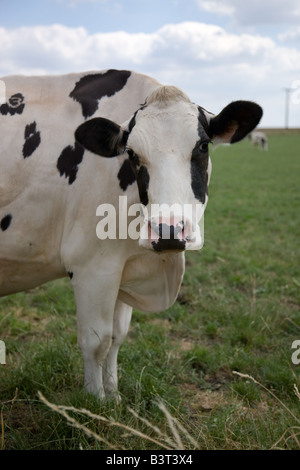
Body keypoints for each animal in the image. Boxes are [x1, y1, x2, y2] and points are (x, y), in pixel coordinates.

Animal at [0, 70, 262, 400]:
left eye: (203, 146)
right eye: (132, 154)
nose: (168, 231)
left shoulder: (123, 265)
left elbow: (117, 336)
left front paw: (113, 395)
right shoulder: (92, 268)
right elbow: (96, 341)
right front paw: (95, 399)